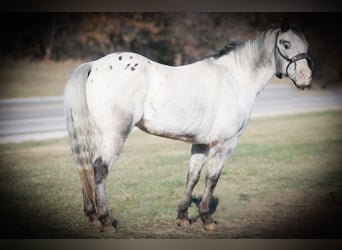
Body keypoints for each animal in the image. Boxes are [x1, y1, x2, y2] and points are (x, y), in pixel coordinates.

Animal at [63, 21, 312, 232]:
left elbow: (192, 176)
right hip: (115, 136)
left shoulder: (201, 144)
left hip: (98, 135)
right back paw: (106, 221)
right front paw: (207, 219)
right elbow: (212, 178)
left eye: (306, 45)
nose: (306, 78)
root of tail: (94, 65)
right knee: (100, 168)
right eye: (285, 44)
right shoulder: (225, 144)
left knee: (85, 165)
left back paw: (91, 215)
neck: (234, 78)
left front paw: (183, 217)